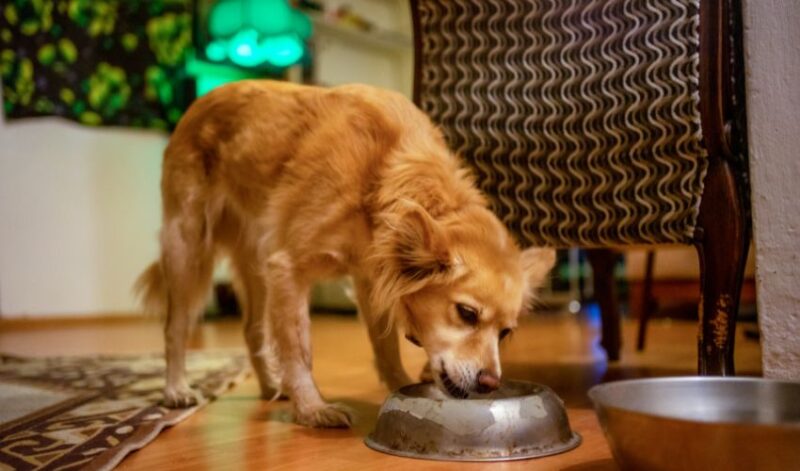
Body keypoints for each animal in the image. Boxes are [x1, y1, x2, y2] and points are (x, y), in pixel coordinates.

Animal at [134, 80, 552, 428]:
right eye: (466, 313)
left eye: (506, 332)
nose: (490, 383)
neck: (379, 173)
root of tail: (203, 99)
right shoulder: (289, 268)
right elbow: (299, 350)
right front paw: (312, 409)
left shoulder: (370, 278)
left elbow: (385, 346)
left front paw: (399, 386)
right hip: (188, 248)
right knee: (175, 328)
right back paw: (176, 389)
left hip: (257, 263)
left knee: (252, 329)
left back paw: (271, 385)